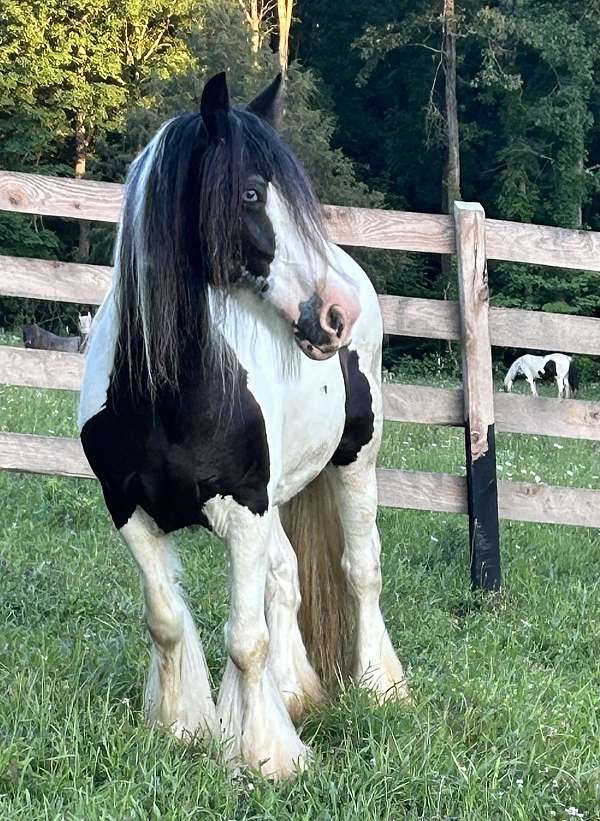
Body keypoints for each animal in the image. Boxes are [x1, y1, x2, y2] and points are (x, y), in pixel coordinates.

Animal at [77, 73, 408, 780]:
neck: (166, 398)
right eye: (252, 193)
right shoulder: (128, 510)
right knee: (285, 581)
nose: (335, 314)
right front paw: (180, 727)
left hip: (354, 462)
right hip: (277, 498)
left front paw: (261, 757)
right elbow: (167, 620)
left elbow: (245, 638)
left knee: (360, 569)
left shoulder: (245, 511)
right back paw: (296, 692)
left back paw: (381, 686)